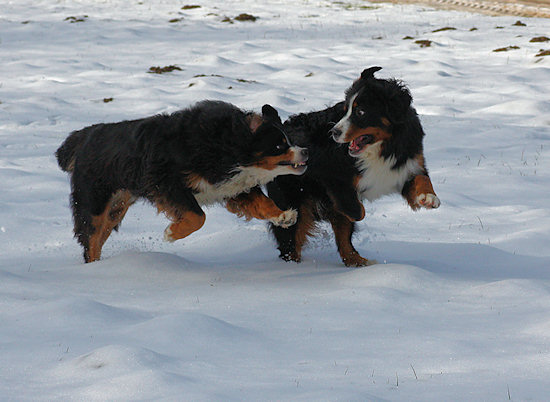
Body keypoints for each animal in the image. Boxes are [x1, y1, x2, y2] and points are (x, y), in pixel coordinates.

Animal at [56, 101, 308, 263]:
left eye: (289, 139)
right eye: (279, 145)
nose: (305, 152)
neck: (225, 146)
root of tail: (83, 137)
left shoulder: (232, 185)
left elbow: (261, 202)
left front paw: (284, 216)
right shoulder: (166, 181)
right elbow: (198, 216)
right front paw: (171, 233)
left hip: (117, 207)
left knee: (98, 237)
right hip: (95, 200)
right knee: (91, 238)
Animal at [264, 67, 440, 267]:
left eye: (360, 112)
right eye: (344, 111)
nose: (333, 132)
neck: (382, 148)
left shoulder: (407, 164)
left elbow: (422, 178)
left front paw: (428, 198)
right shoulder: (331, 174)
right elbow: (355, 210)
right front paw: (356, 209)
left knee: (344, 244)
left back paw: (359, 261)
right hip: (292, 202)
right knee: (291, 242)